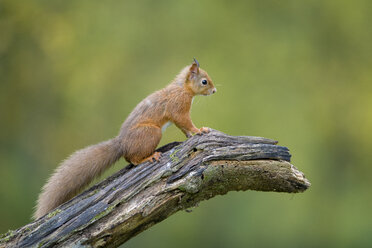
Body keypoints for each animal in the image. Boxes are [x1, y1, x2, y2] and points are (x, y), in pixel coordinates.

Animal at [35, 58, 217, 219]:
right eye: (204, 82)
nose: (215, 91)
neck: (182, 88)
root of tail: (122, 144)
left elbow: (183, 128)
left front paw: (191, 135)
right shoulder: (178, 107)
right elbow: (185, 122)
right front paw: (199, 130)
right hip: (152, 133)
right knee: (134, 159)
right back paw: (149, 157)